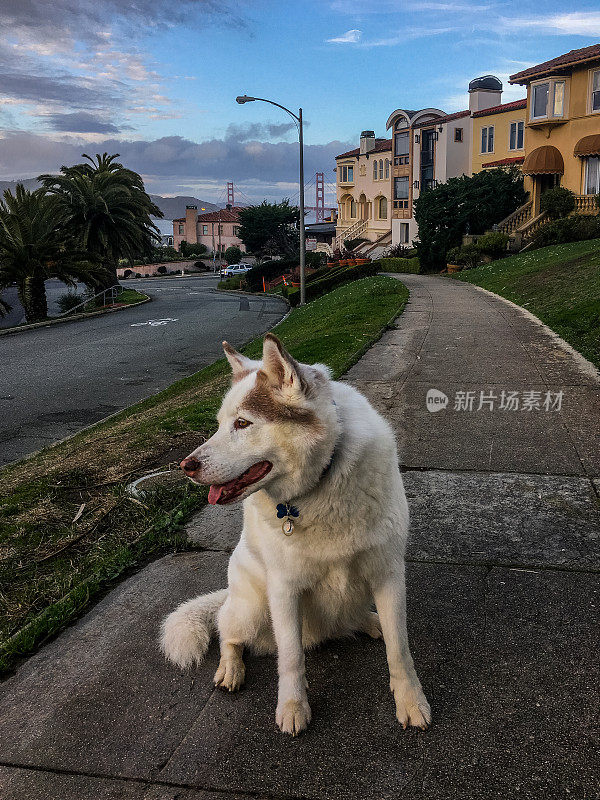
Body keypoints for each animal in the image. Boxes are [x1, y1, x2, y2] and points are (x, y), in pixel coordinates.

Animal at [161, 334, 432, 736]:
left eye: (242, 422)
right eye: (220, 424)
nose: (186, 466)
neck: (321, 482)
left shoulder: (388, 574)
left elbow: (399, 650)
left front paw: (410, 700)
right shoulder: (285, 589)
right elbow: (290, 658)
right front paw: (292, 707)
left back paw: (370, 622)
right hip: (252, 609)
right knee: (228, 633)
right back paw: (230, 668)